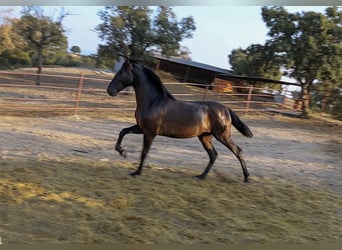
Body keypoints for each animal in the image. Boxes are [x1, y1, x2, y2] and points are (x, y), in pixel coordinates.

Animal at [107, 57, 254, 183]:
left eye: (121, 72)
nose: (109, 90)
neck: (153, 102)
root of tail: (226, 109)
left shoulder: (150, 132)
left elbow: (144, 152)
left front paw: (136, 172)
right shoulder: (141, 128)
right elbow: (123, 131)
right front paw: (122, 152)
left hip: (222, 136)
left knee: (238, 151)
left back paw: (246, 178)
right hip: (205, 137)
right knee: (213, 155)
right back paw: (201, 176)